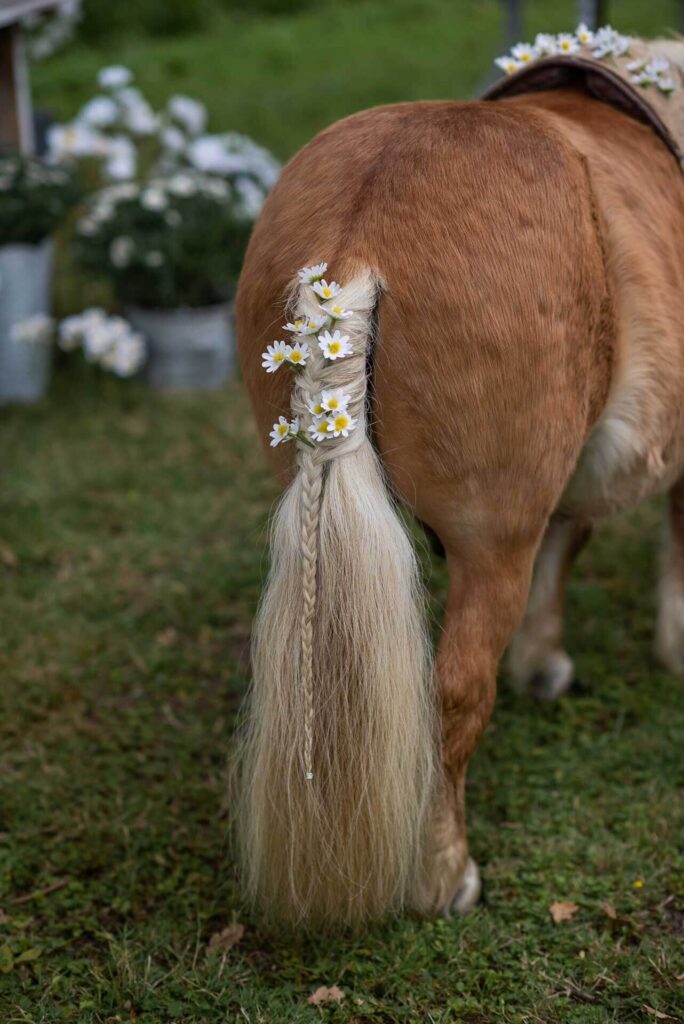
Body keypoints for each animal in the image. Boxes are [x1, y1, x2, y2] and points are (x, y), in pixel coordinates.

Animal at [234, 38, 684, 928]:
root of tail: (357, 238)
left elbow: (569, 534)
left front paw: (544, 661)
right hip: (490, 538)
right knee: (455, 694)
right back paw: (444, 877)